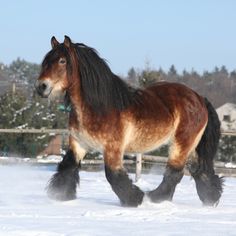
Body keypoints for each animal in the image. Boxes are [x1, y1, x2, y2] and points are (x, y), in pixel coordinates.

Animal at [35, 35, 223, 206]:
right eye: (46, 61)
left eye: (62, 61)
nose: (41, 87)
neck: (98, 107)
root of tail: (199, 97)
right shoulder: (78, 144)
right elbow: (68, 166)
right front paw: (61, 196)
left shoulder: (112, 148)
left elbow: (113, 174)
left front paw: (134, 199)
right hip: (192, 147)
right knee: (199, 170)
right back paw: (209, 198)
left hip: (181, 144)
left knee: (175, 172)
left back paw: (155, 197)